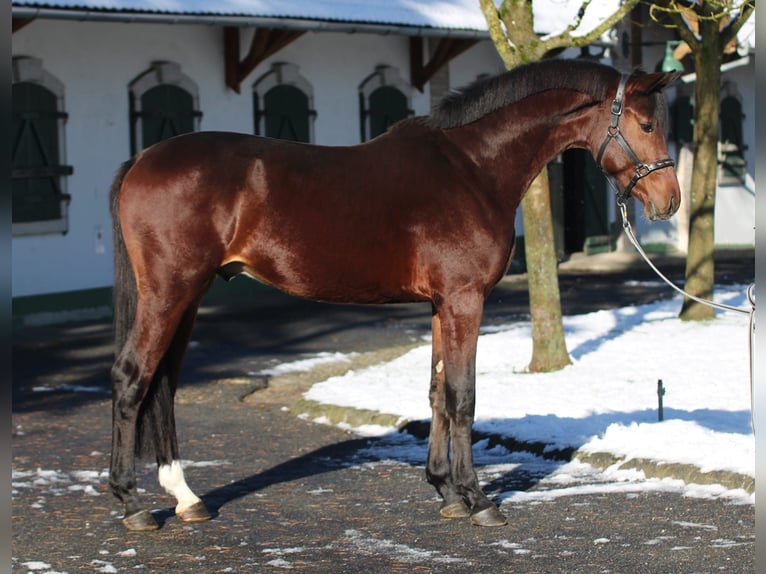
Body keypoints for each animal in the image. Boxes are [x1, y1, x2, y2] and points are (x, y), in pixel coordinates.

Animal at [109, 58, 684, 532]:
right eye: (647, 125)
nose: (670, 201)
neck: (473, 166)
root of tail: (141, 158)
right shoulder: (465, 300)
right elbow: (463, 397)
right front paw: (478, 500)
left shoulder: (440, 304)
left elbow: (436, 392)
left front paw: (446, 492)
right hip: (170, 291)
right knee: (133, 377)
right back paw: (133, 504)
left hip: (189, 295)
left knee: (163, 383)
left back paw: (186, 498)